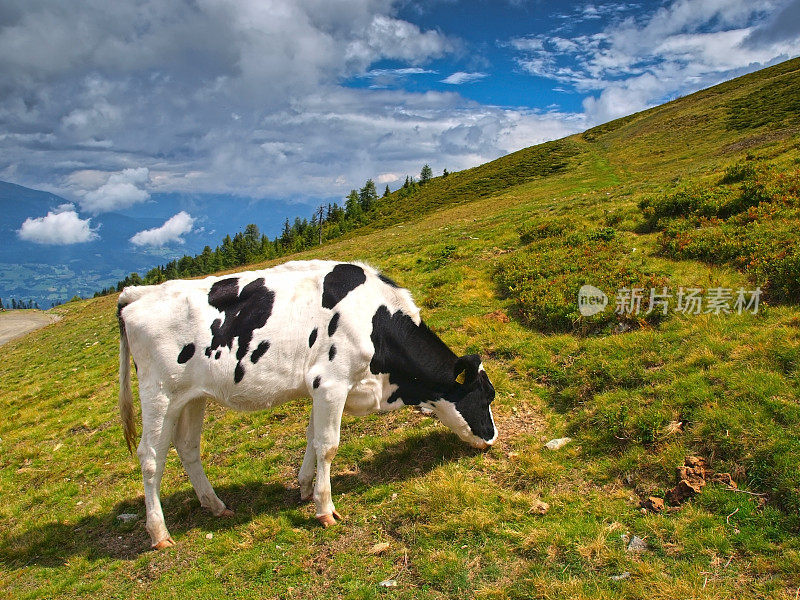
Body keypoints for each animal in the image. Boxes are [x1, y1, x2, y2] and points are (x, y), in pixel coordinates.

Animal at [116, 258, 496, 548]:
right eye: (486, 396)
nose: (492, 438)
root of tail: (137, 295)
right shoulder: (331, 383)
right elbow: (328, 446)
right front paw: (324, 508)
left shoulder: (319, 389)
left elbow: (313, 439)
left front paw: (303, 487)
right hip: (159, 394)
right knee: (150, 457)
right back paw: (159, 534)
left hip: (192, 397)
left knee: (187, 447)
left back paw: (215, 505)